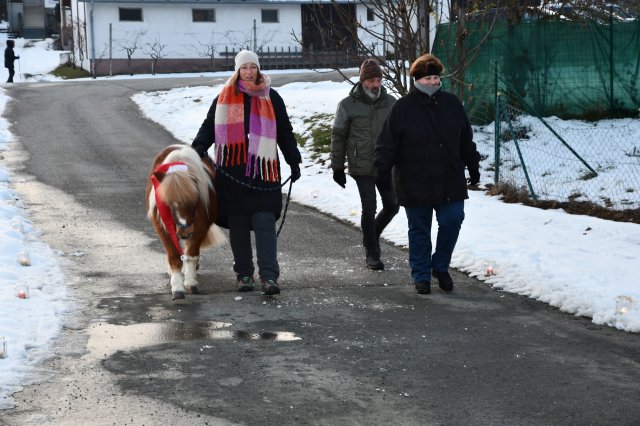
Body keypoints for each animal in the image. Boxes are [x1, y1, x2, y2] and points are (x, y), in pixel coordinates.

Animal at [146, 143, 226, 300]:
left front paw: (190, 283)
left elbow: (191, 255)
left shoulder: (200, 227)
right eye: (168, 203)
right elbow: (174, 257)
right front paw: (177, 288)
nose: (184, 232)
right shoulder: (164, 228)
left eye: (195, 200)